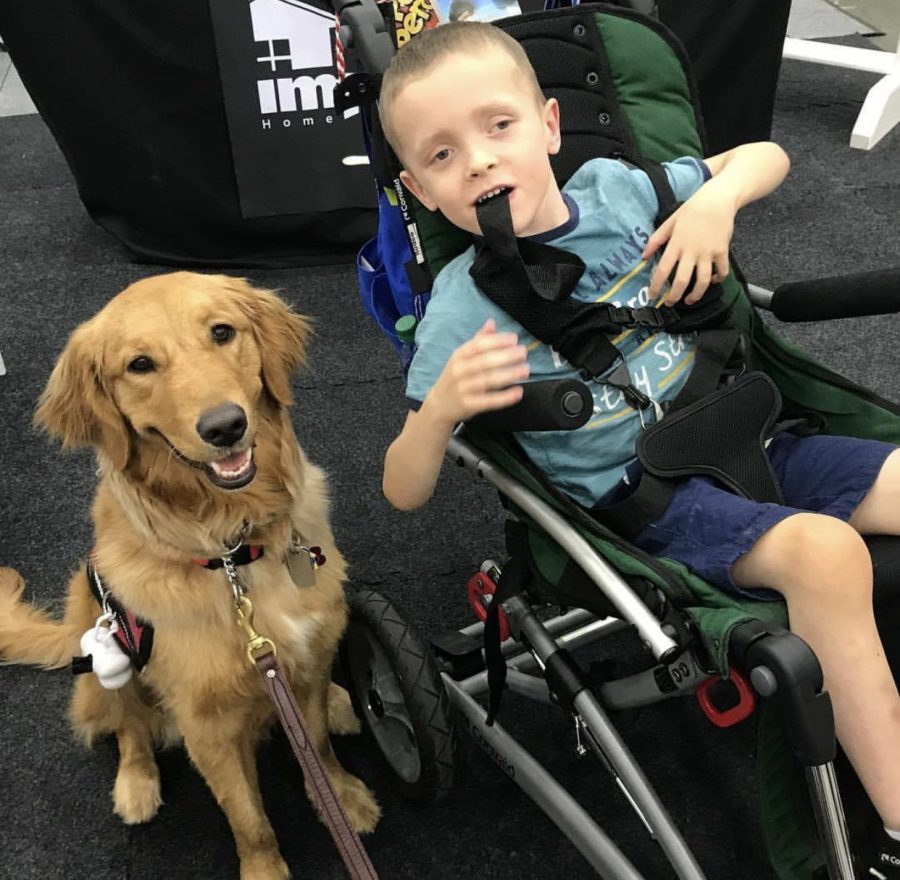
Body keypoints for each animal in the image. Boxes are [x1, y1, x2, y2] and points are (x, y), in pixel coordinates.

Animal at [0, 272, 380, 876]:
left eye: (222, 332)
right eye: (139, 365)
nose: (225, 426)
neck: (234, 551)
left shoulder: (302, 659)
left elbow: (317, 747)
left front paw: (341, 799)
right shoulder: (207, 725)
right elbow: (248, 818)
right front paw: (265, 869)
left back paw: (344, 700)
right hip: (102, 643)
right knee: (128, 726)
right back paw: (136, 785)